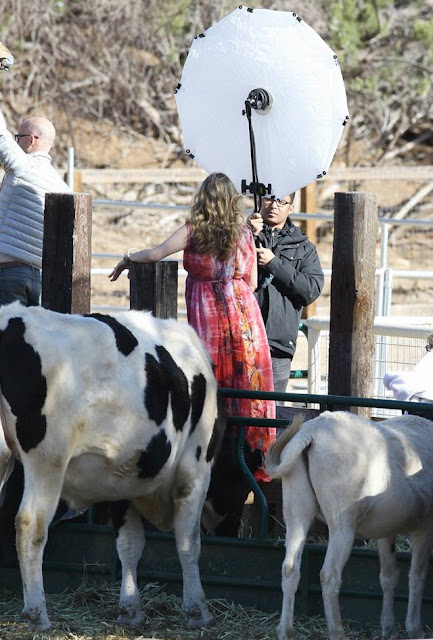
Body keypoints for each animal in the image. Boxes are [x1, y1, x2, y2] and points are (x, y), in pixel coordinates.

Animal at [0, 302, 223, 632]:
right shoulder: (194, 467)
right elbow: (188, 540)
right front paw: (197, 609)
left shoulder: (123, 478)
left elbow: (129, 543)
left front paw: (130, 609)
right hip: (48, 460)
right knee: (31, 525)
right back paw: (37, 612)